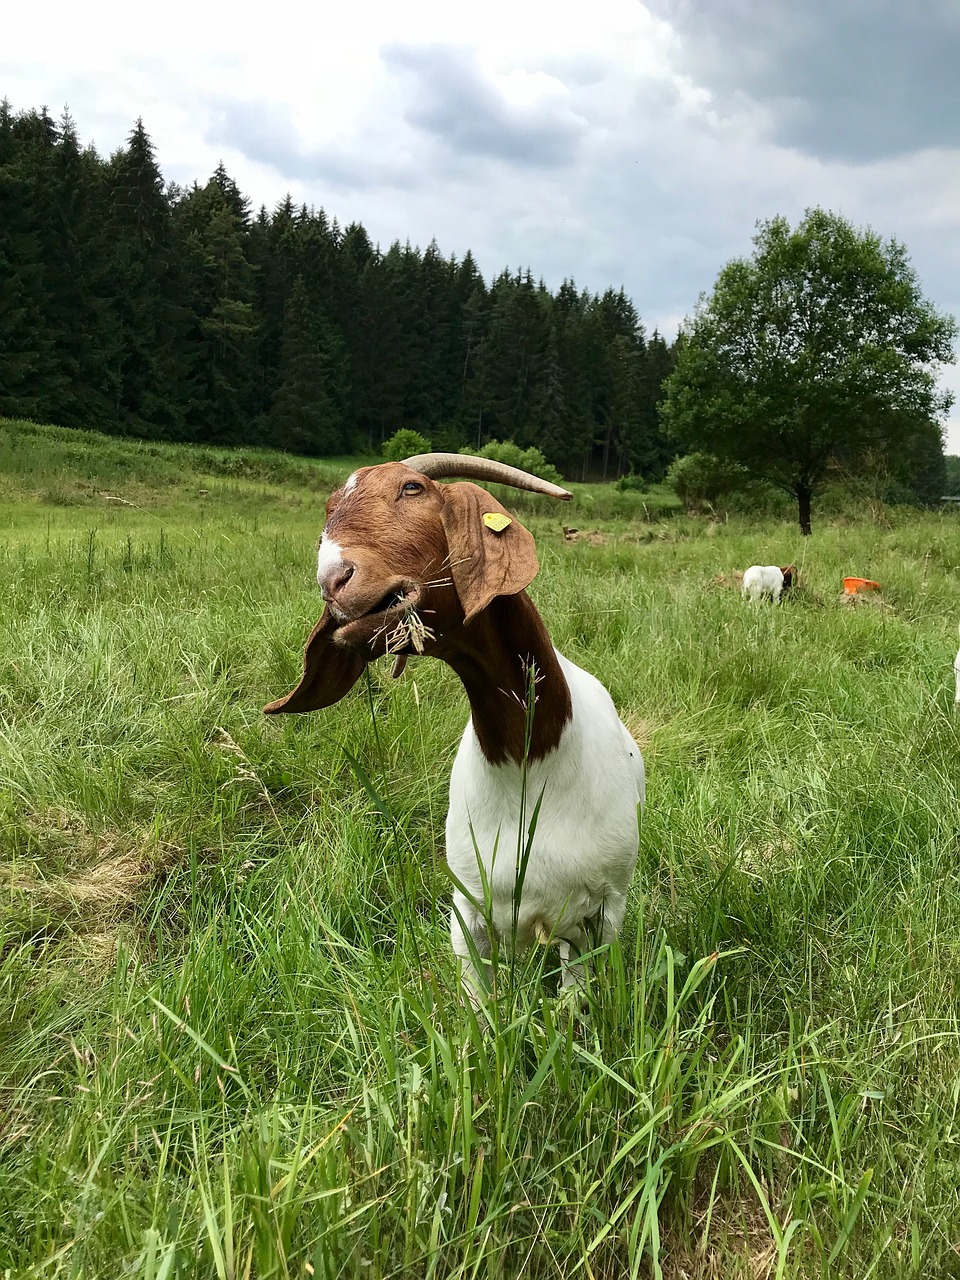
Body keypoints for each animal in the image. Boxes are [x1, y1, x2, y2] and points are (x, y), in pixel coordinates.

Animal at [264, 455, 647, 993]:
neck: (529, 759)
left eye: (413, 488)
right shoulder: (467, 910)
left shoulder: (602, 909)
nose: (333, 579)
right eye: (328, 510)